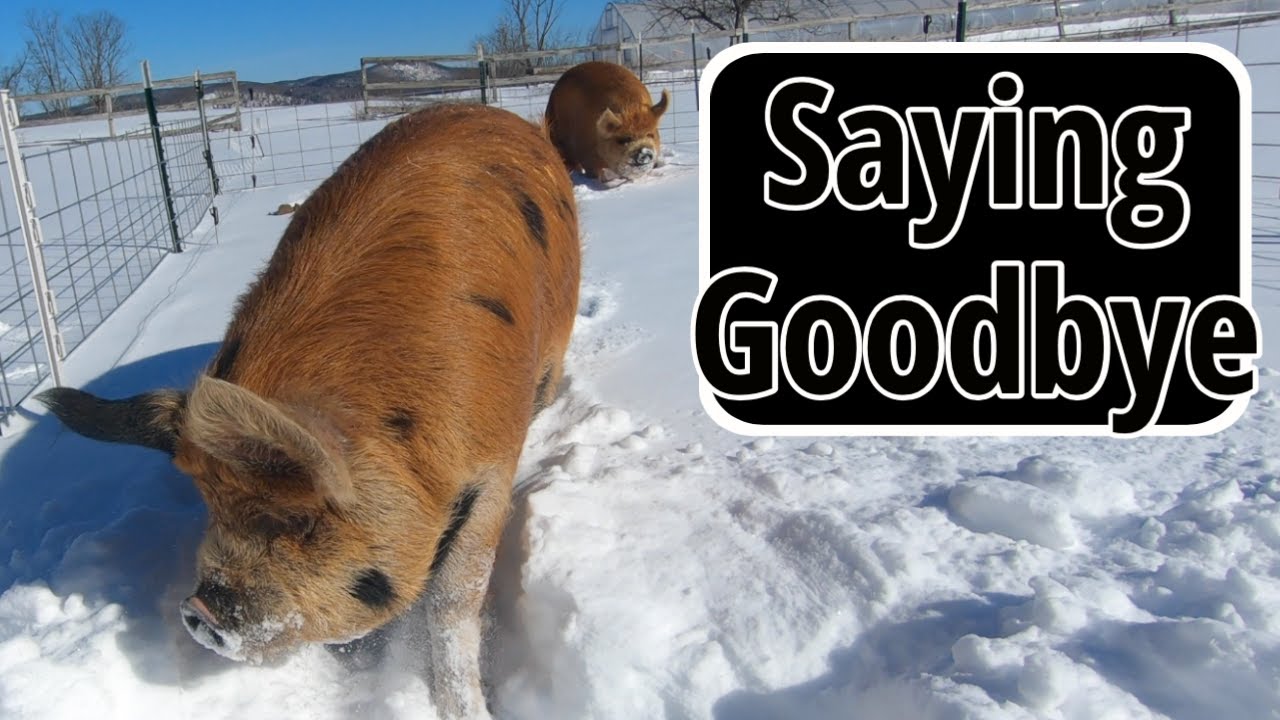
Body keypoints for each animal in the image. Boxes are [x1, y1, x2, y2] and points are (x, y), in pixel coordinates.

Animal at [33, 101, 581, 720]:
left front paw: (467, 709)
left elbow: (453, 601)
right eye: (209, 504)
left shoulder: (489, 466)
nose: (198, 612)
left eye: (302, 518)